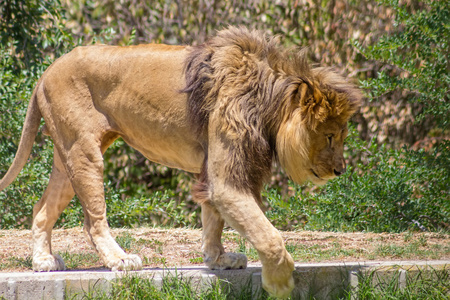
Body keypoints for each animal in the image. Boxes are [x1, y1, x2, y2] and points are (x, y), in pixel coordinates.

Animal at [0, 27, 360, 298]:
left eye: (341, 135)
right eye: (330, 136)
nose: (340, 170)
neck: (267, 98)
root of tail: (46, 71)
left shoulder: (215, 167)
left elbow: (213, 219)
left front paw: (218, 259)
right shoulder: (227, 176)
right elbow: (267, 234)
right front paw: (281, 282)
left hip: (66, 156)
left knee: (41, 209)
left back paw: (43, 262)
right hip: (83, 150)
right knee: (92, 221)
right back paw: (120, 260)